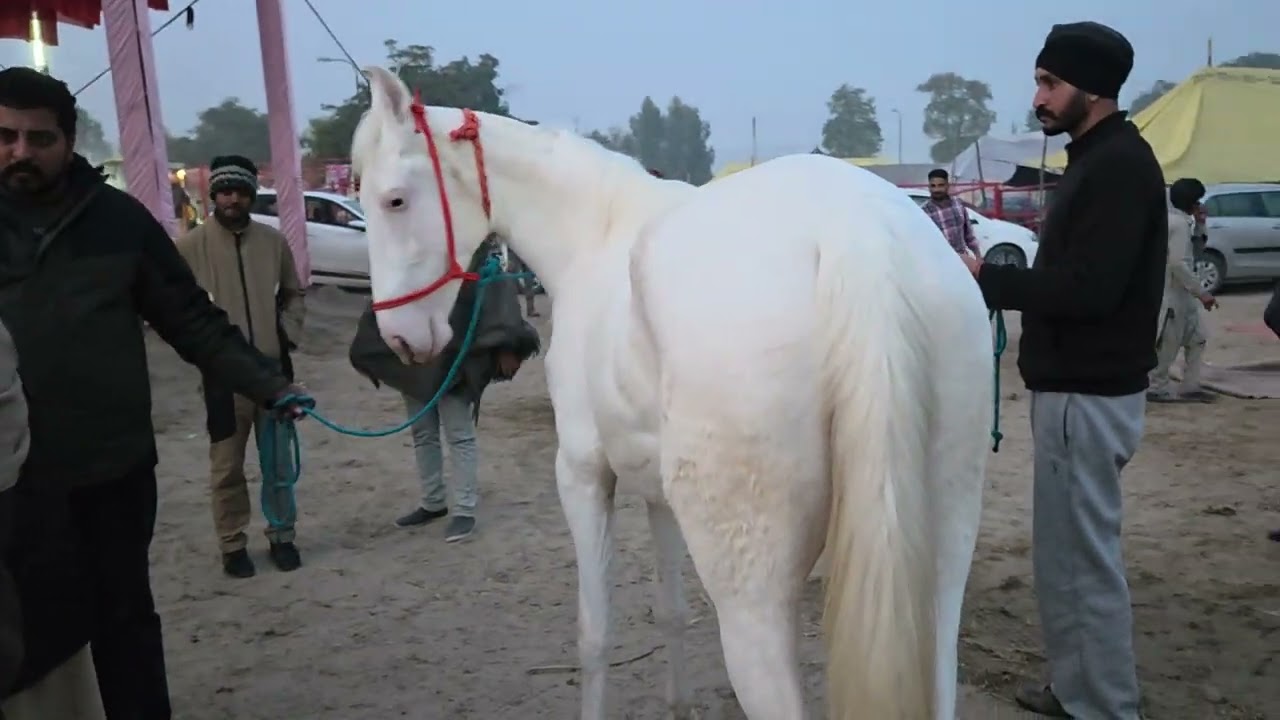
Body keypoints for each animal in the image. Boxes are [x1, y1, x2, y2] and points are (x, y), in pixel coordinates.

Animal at [351, 65, 992, 720]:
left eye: (393, 200)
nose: (399, 337)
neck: (596, 233)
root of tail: (856, 236)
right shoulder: (657, 493)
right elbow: (672, 611)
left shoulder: (582, 475)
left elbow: (594, 635)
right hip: (941, 572)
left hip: (750, 597)